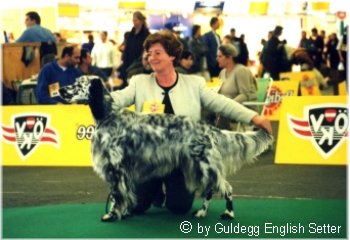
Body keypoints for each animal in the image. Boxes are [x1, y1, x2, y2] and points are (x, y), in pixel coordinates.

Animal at [59, 76, 274, 222]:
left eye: (79, 84)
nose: (60, 90)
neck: (109, 116)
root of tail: (209, 128)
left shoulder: (115, 166)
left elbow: (117, 194)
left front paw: (112, 215)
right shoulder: (124, 170)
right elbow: (124, 194)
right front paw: (124, 212)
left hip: (204, 165)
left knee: (225, 187)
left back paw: (228, 213)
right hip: (198, 166)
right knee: (210, 189)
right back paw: (202, 212)